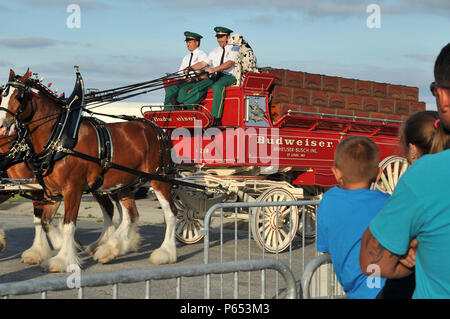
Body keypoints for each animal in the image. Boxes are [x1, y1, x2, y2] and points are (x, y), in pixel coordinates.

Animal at [0, 70, 178, 272]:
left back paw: (165, 252)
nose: (3, 126)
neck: (59, 137)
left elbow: (67, 224)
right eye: (3, 95)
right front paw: (57, 247)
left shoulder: (72, 189)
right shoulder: (52, 192)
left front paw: (62, 258)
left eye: (19, 96)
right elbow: (44, 220)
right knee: (129, 215)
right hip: (122, 184)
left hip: (160, 179)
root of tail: (157, 130)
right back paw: (110, 248)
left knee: (170, 213)